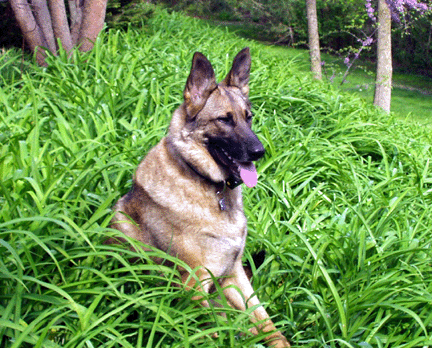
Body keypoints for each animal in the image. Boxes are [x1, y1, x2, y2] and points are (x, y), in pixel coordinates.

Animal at [110, 47, 290, 346]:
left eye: (248, 117)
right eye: (224, 119)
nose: (259, 152)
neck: (209, 185)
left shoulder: (233, 275)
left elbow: (269, 325)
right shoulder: (194, 285)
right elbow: (215, 335)